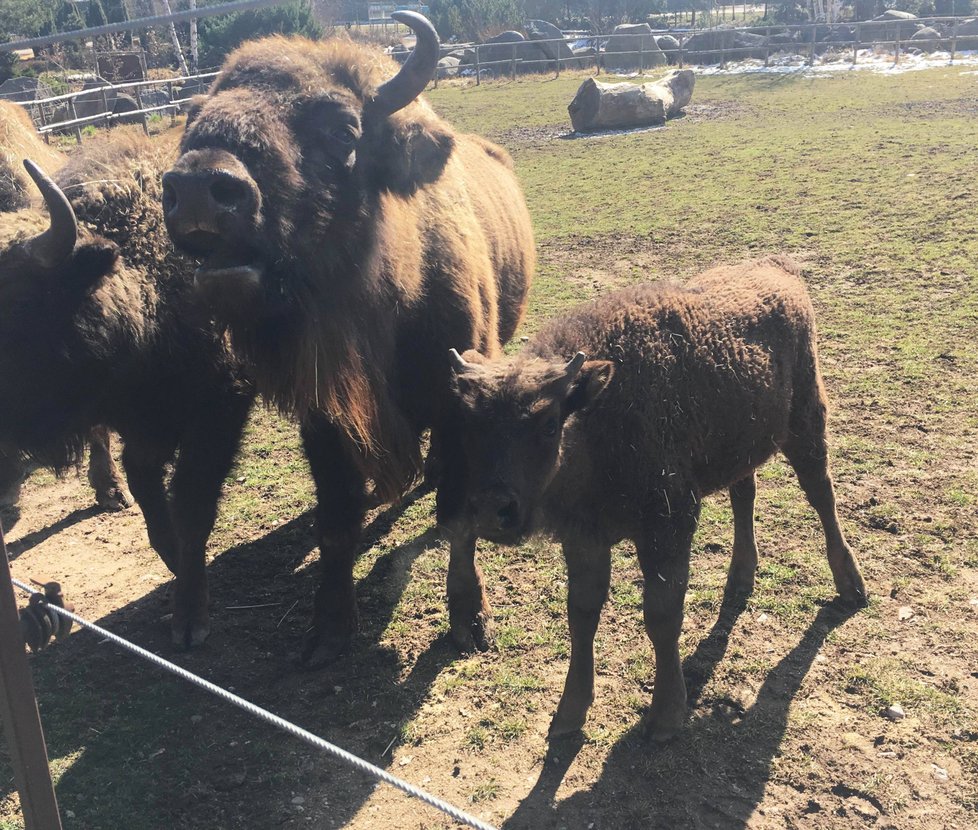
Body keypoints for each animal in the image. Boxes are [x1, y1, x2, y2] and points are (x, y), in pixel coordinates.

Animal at [0, 150, 252, 648]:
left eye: (16, 304)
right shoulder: (139, 430)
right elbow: (151, 499)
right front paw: (175, 564)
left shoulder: (217, 415)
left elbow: (191, 505)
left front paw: (190, 617)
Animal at [165, 11, 536, 668]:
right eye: (192, 120)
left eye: (343, 130)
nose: (199, 186)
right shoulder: (326, 421)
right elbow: (336, 523)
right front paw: (330, 630)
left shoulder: (459, 403)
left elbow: (459, 519)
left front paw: (470, 621)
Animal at [438, 258, 864, 740]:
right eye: (470, 425)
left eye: (548, 424)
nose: (494, 512)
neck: (595, 416)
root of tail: (779, 266)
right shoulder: (585, 536)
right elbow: (582, 614)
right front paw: (569, 713)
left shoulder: (668, 525)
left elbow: (661, 616)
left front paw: (665, 716)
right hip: (742, 447)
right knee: (745, 495)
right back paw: (740, 579)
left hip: (806, 425)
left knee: (822, 495)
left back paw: (851, 586)